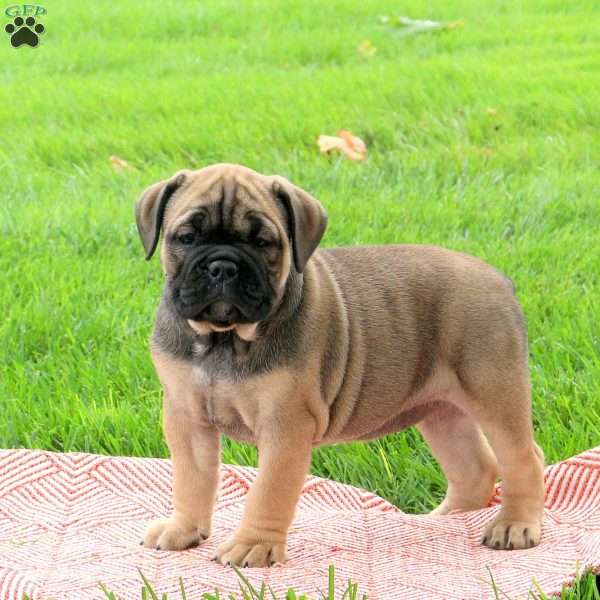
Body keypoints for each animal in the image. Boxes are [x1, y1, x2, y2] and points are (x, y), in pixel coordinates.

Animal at [135, 164, 544, 568]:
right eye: (186, 238)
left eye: (263, 243)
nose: (223, 266)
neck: (225, 339)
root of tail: (500, 281)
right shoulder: (187, 417)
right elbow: (191, 478)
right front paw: (184, 528)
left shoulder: (285, 426)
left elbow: (268, 490)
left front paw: (254, 545)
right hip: (441, 410)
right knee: (475, 468)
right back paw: (445, 519)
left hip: (494, 392)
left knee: (523, 458)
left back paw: (515, 524)